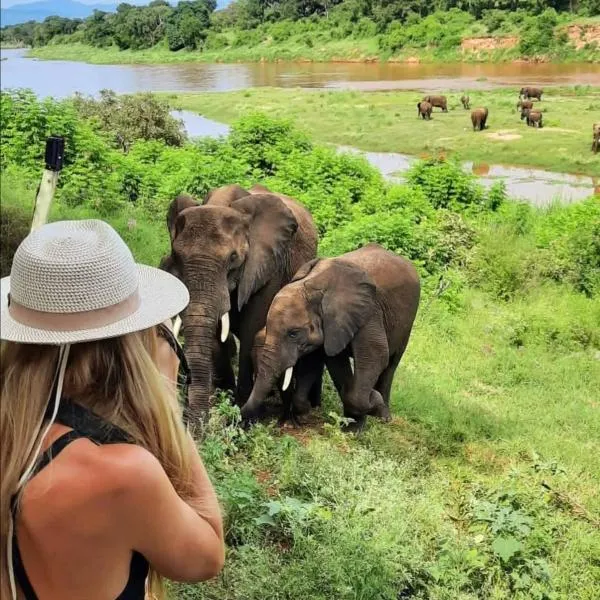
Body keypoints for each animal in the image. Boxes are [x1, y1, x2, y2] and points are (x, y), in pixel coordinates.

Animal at [159, 185, 318, 420]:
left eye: (233, 258)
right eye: (176, 256)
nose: (189, 420)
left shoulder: (267, 265)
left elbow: (252, 326)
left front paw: (241, 411)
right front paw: (225, 396)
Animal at [240, 241, 422, 428]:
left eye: (293, 334)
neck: (313, 287)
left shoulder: (369, 312)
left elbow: (375, 355)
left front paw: (372, 405)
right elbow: (325, 360)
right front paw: (345, 424)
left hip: (408, 319)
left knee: (391, 363)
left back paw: (384, 417)